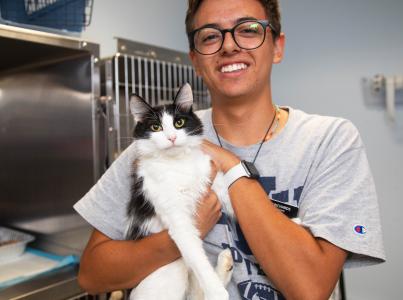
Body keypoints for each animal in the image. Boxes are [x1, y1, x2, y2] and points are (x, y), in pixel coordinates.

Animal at [126, 84, 234, 300]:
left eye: (179, 122)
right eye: (156, 127)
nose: (172, 137)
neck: (178, 163)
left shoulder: (214, 180)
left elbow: (234, 202)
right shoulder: (178, 220)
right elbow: (199, 260)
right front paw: (216, 291)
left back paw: (225, 263)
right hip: (173, 269)